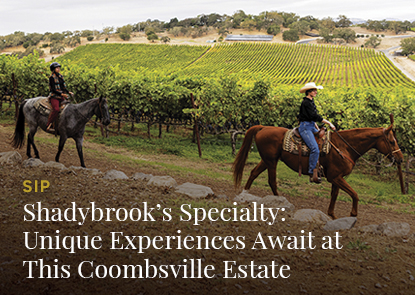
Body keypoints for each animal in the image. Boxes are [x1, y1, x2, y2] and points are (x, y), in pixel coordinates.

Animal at [236, 116, 404, 220]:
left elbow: (334, 195)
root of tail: (263, 127)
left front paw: (332, 215)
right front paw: (353, 213)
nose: (400, 158)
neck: (344, 147)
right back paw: (279, 202)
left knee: (253, 173)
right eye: (391, 141)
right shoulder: (335, 177)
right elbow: (354, 194)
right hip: (271, 162)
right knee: (272, 181)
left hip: (266, 160)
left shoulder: (337, 178)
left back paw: (245, 194)